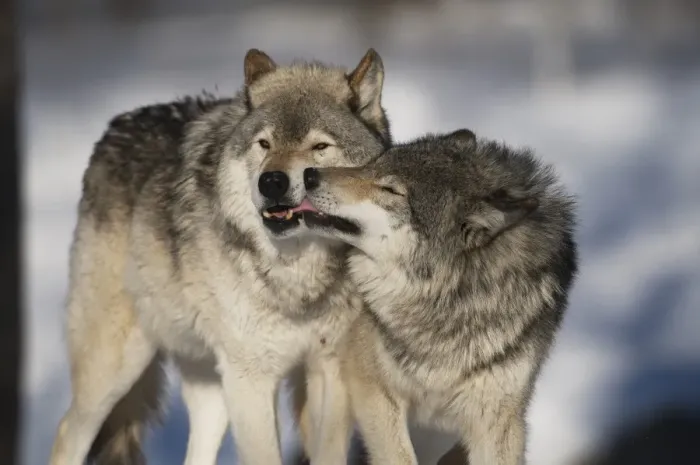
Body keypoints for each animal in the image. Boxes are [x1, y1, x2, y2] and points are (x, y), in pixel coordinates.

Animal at [49, 48, 392, 465]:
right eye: (264, 144)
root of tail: (116, 126)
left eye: (319, 147)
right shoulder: (252, 378)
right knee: (68, 433)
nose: (271, 181)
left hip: (212, 389)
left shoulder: (328, 372)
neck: (298, 276)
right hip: (116, 367)